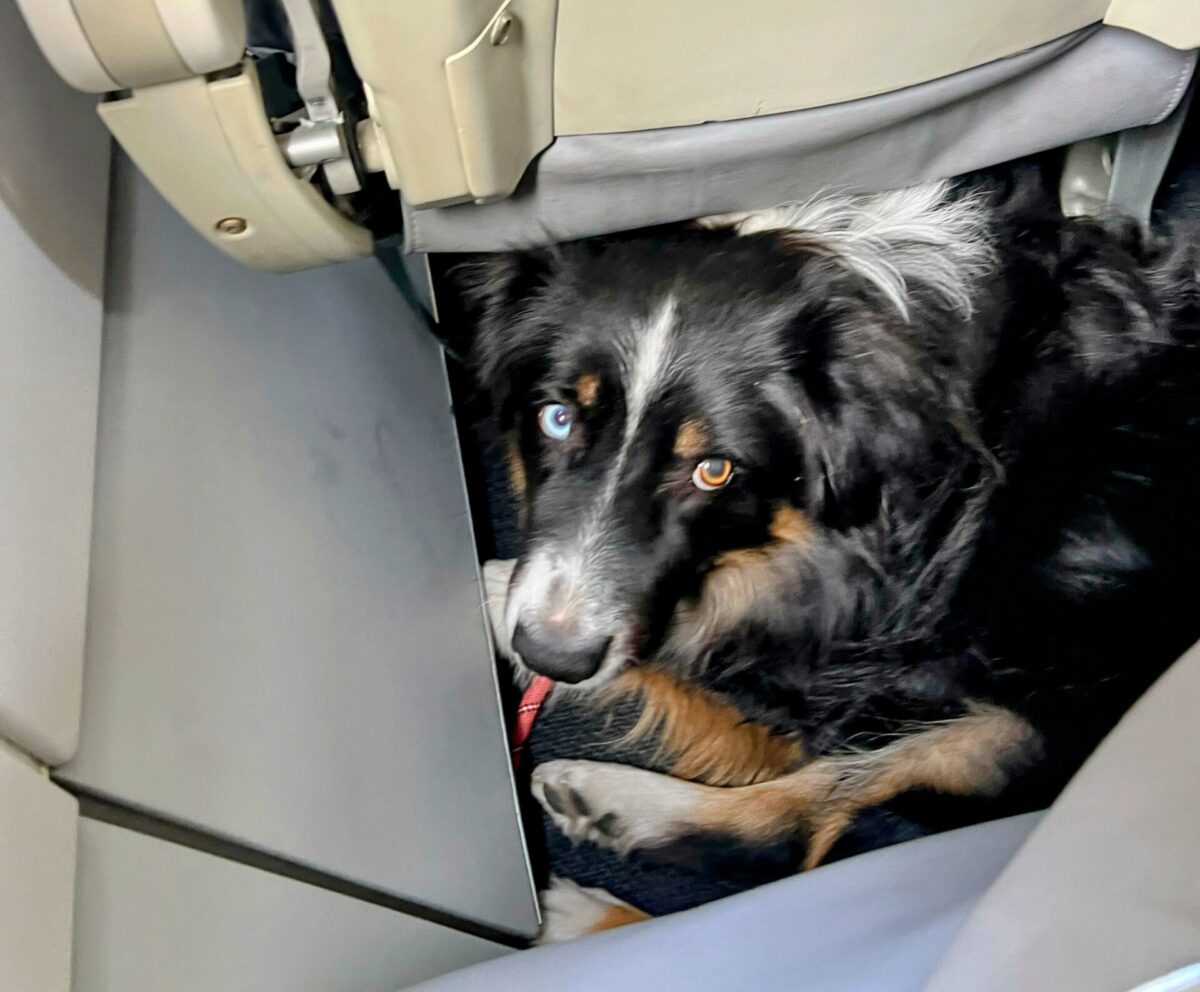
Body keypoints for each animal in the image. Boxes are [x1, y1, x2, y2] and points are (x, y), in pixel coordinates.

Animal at [463, 178, 1195, 940]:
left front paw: (493, 591)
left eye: (714, 470)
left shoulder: (853, 650)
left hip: (1000, 736)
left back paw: (587, 893)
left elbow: (686, 654)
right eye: (557, 419)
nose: (553, 655)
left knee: (798, 840)